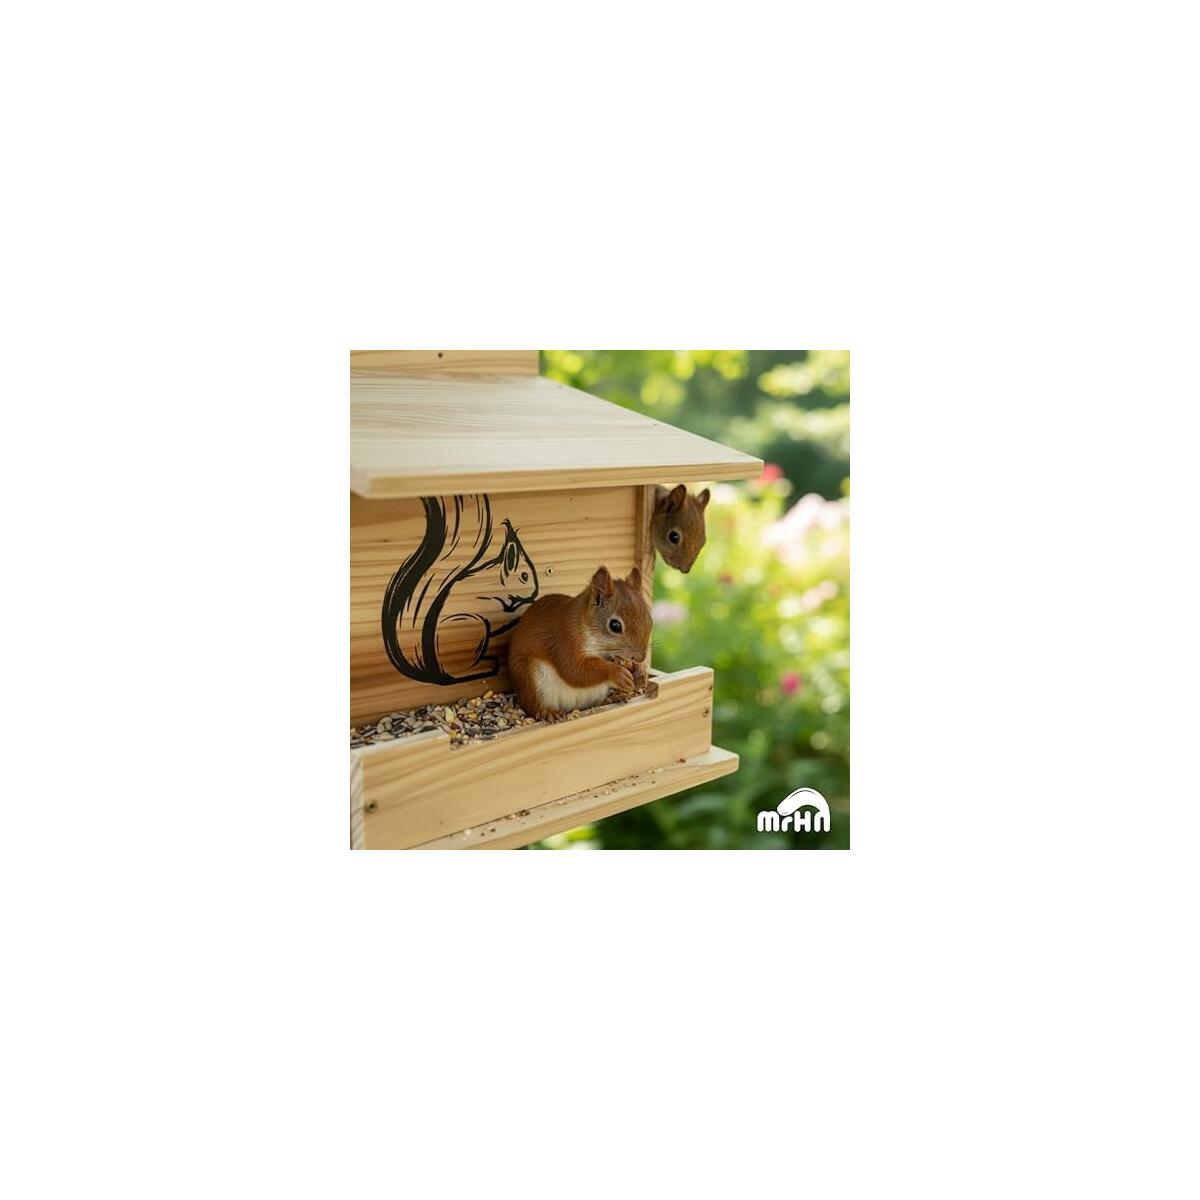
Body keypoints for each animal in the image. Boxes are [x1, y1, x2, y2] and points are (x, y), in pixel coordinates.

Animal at [381, 494, 539, 685]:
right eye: (525, 576)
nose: (535, 592)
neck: (494, 581)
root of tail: (438, 673)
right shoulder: (489, 600)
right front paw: (524, 606)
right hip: (477, 627)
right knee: (461, 671)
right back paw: (485, 666)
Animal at [508, 565, 651, 723]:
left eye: (649, 620)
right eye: (615, 626)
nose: (640, 657)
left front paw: (640, 672)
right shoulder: (566, 638)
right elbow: (574, 669)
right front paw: (616, 672)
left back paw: (615, 697)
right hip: (533, 679)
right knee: (533, 705)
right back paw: (548, 712)